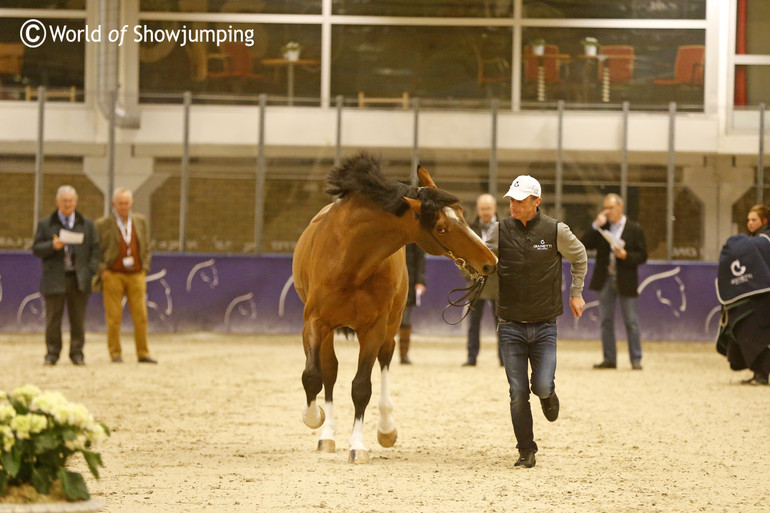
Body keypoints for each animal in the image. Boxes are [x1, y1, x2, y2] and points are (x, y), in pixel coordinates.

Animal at [290, 153, 498, 464]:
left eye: (462, 214)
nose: (490, 261)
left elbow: (361, 387)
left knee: (386, 360)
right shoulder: (315, 323)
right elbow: (313, 376)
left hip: (391, 325)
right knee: (330, 371)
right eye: (441, 228)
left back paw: (386, 429)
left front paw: (358, 445)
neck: (349, 262)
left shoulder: (374, 329)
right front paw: (314, 418)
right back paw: (327, 434)